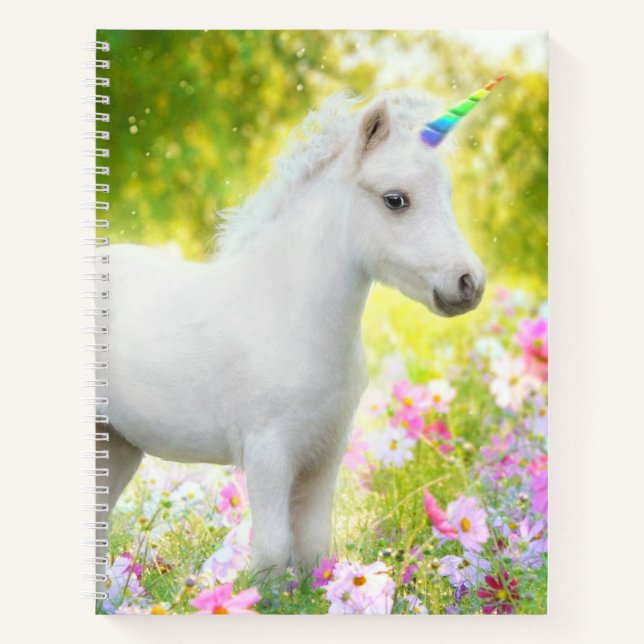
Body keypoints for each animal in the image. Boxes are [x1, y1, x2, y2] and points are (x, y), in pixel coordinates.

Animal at [100, 89, 486, 580]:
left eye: (447, 195)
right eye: (395, 199)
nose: (468, 283)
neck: (291, 317)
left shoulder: (325, 454)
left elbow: (313, 548)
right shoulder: (268, 454)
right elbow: (272, 550)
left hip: (118, 445)